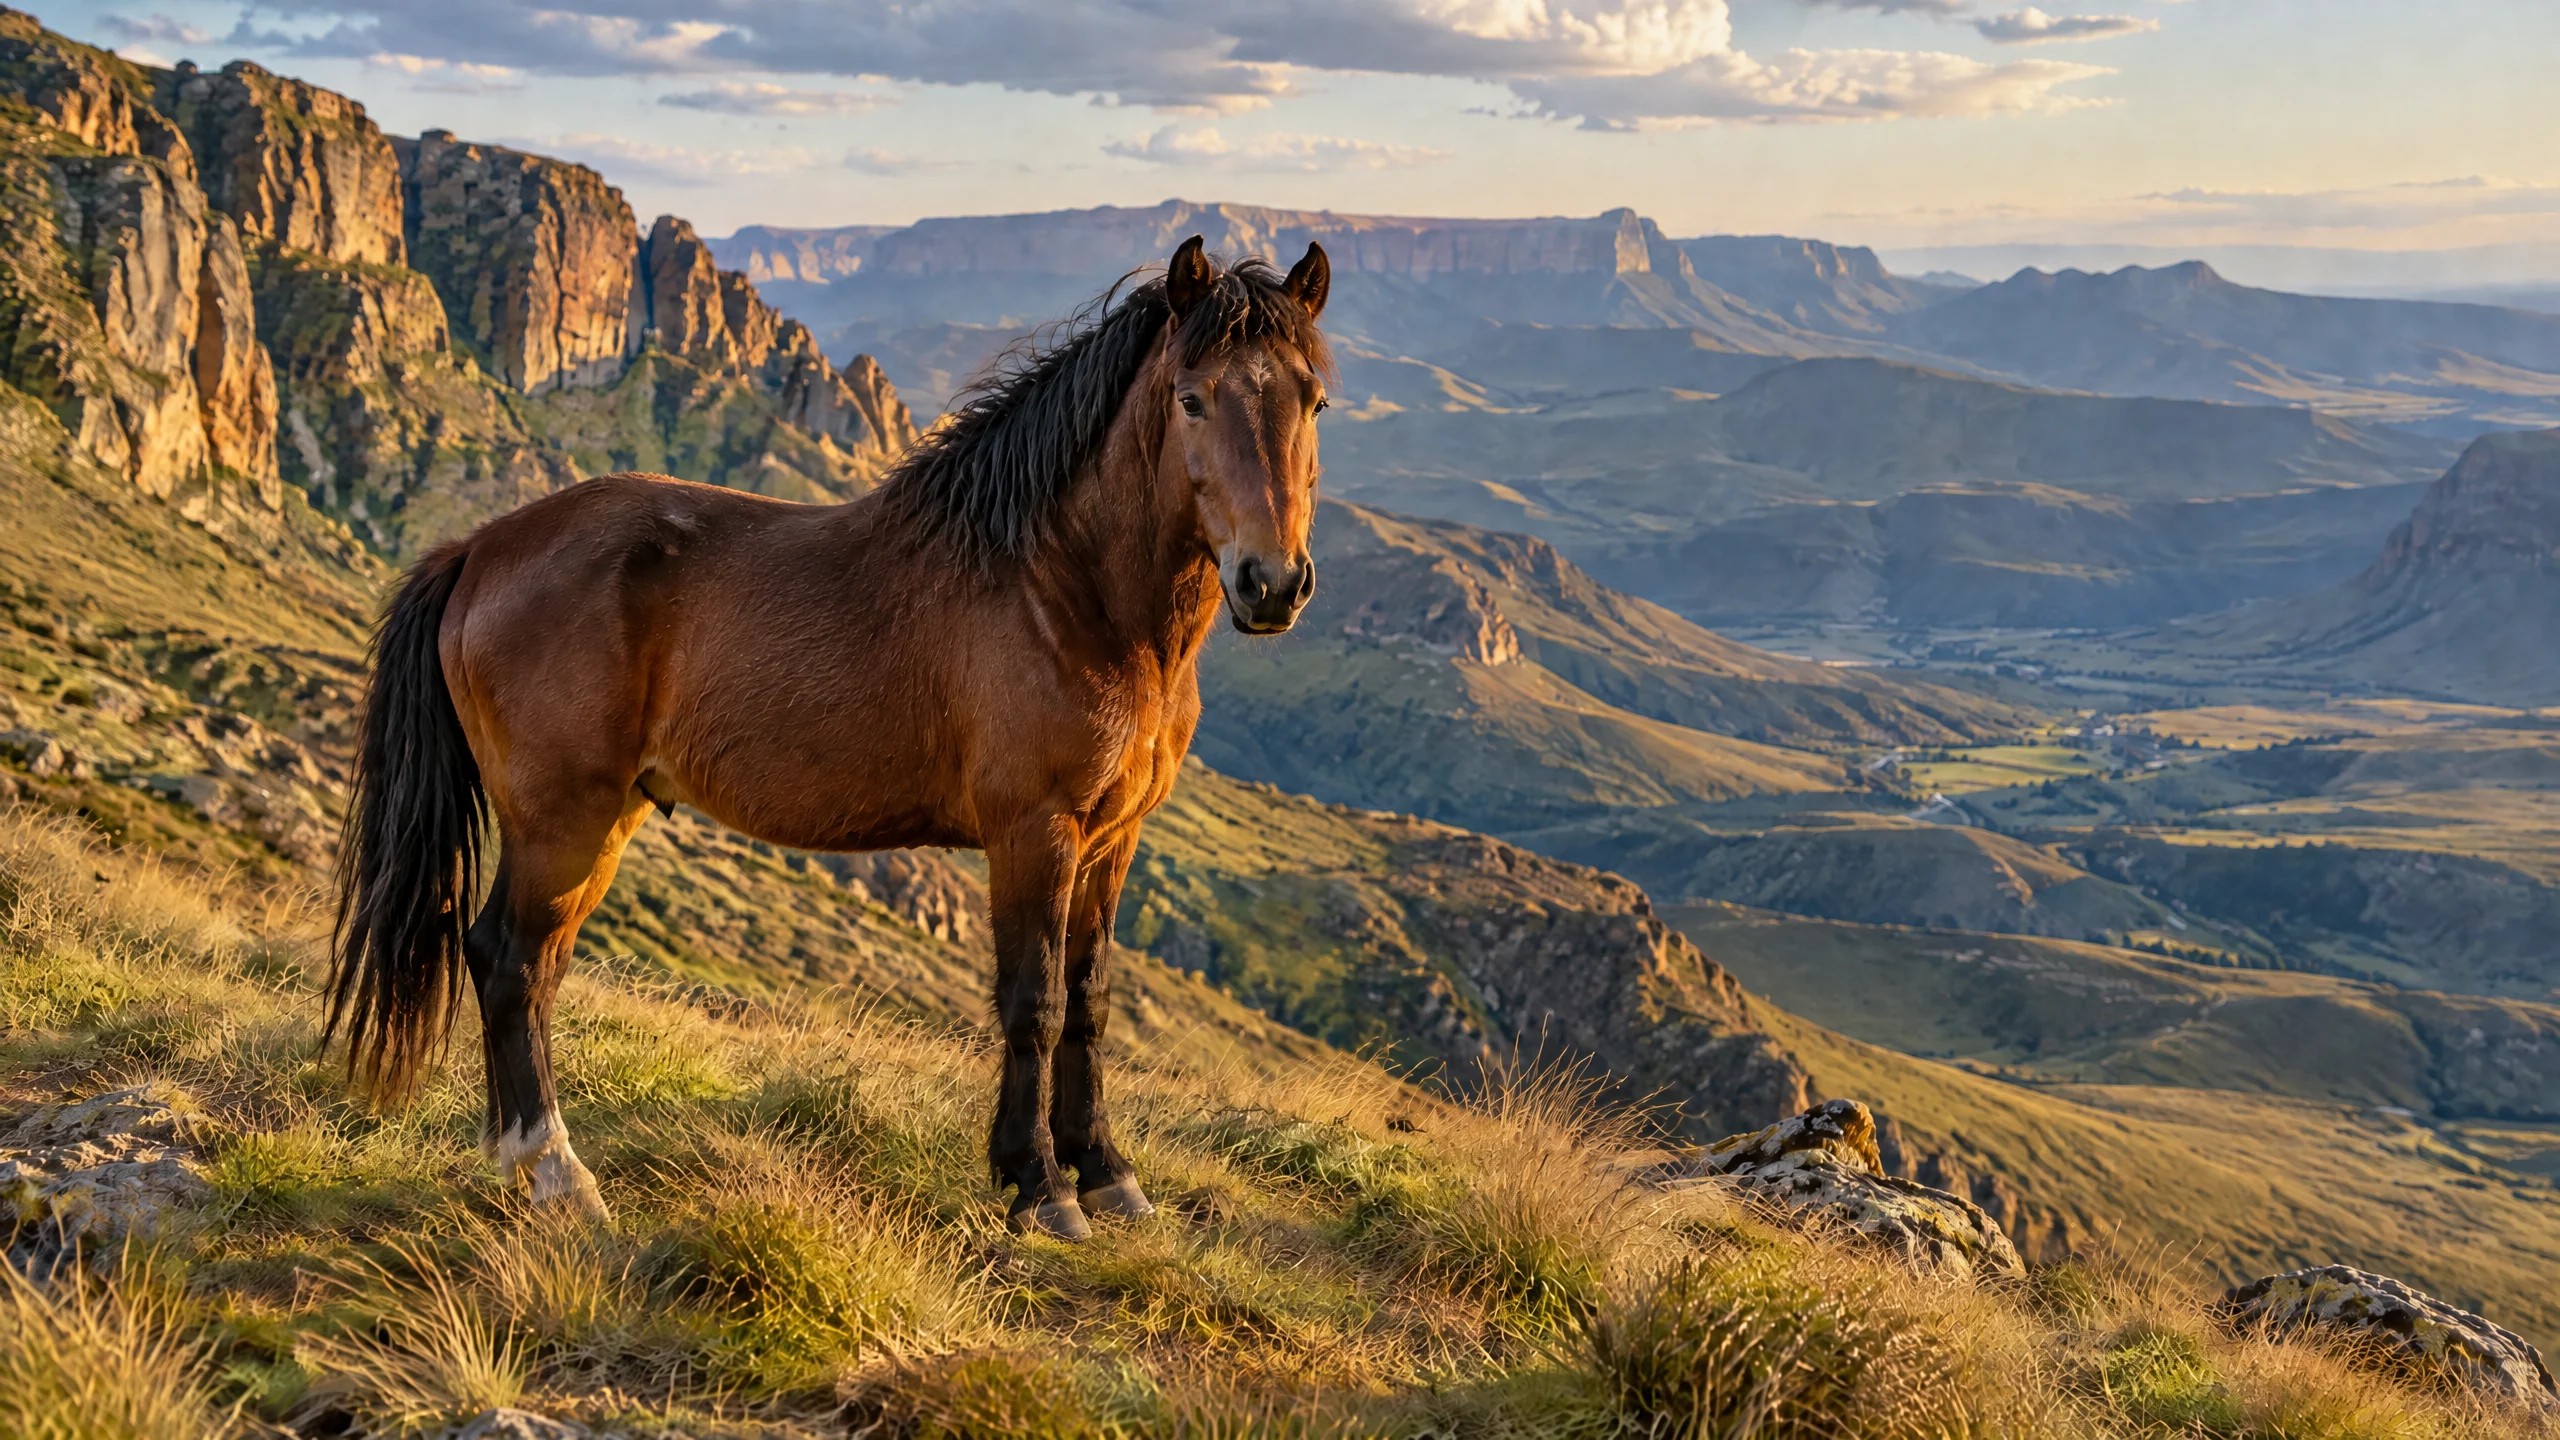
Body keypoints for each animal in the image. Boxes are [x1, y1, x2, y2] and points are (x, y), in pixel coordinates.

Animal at [325, 236, 1333, 1239]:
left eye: (1313, 399)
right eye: (1192, 397)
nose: (1272, 584)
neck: (1063, 590)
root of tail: (480, 549)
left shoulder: (1113, 836)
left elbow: (1090, 1000)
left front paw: (1107, 1173)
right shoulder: (1033, 832)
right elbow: (1034, 1002)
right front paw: (1040, 1186)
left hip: (603, 820)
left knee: (526, 965)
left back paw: (519, 1164)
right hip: (561, 821)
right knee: (510, 960)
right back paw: (559, 1172)